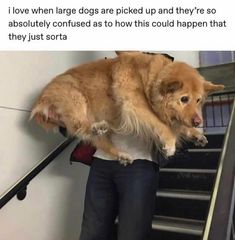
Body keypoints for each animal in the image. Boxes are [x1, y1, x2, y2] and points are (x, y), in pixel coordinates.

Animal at [30, 52, 225, 165]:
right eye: (184, 99)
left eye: (198, 100)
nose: (198, 121)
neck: (149, 79)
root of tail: (40, 100)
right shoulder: (135, 106)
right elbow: (161, 124)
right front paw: (170, 143)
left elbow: (177, 124)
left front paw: (196, 134)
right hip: (75, 98)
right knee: (80, 126)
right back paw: (96, 127)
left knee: (97, 139)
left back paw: (120, 154)